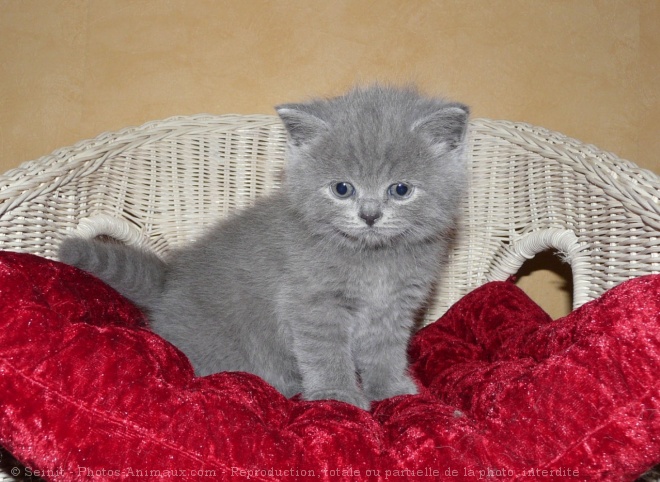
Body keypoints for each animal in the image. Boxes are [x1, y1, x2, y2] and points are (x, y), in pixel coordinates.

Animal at [58, 84, 470, 408]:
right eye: (342, 189)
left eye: (400, 189)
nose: (369, 215)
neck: (374, 260)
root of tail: (169, 278)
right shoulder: (311, 303)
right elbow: (326, 352)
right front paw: (338, 397)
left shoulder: (396, 307)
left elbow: (385, 352)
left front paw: (393, 391)